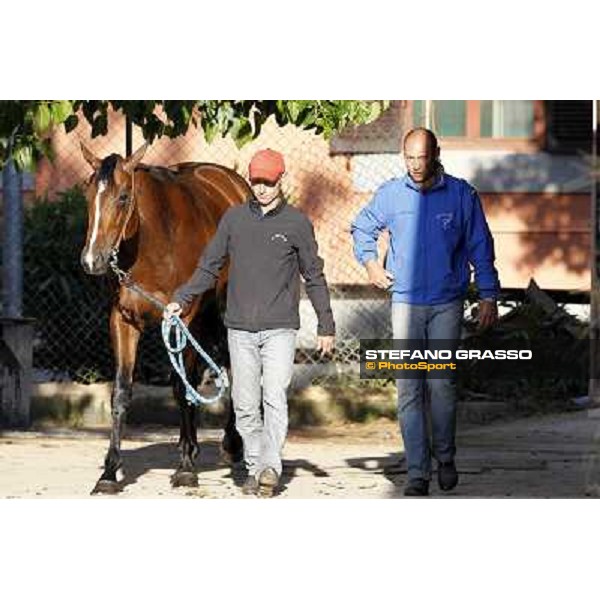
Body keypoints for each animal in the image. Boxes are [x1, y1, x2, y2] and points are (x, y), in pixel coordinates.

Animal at [79, 143, 248, 494]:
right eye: (87, 194)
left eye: (123, 197)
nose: (92, 260)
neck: (155, 243)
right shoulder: (123, 321)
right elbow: (122, 391)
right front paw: (109, 472)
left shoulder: (183, 318)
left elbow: (181, 388)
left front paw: (185, 468)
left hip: (224, 314)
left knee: (231, 370)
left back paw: (231, 445)